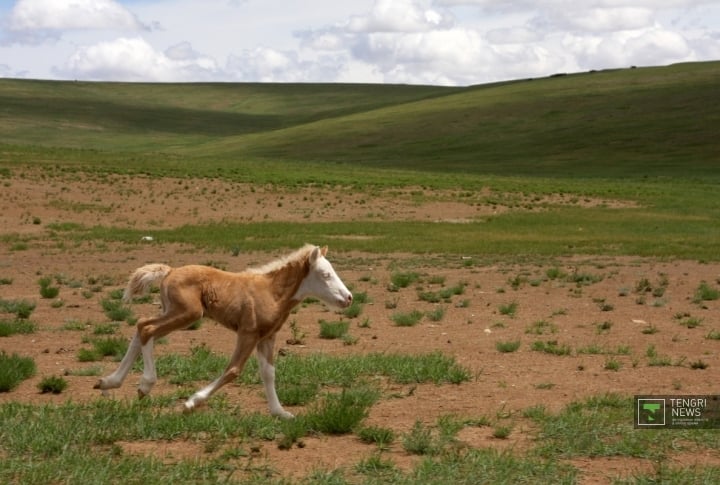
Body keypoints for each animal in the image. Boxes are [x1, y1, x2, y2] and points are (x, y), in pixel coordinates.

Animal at [94, 244, 352, 418]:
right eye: (325, 274)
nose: (348, 298)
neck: (272, 293)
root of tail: (169, 270)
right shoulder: (248, 333)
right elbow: (233, 370)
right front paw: (192, 402)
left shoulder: (267, 337)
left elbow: (268, 373)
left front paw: (280, 412)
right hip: (188, 314)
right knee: (147, 329)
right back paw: (144, 385)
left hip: (174, 312)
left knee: (141, 326)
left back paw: (108, 383)